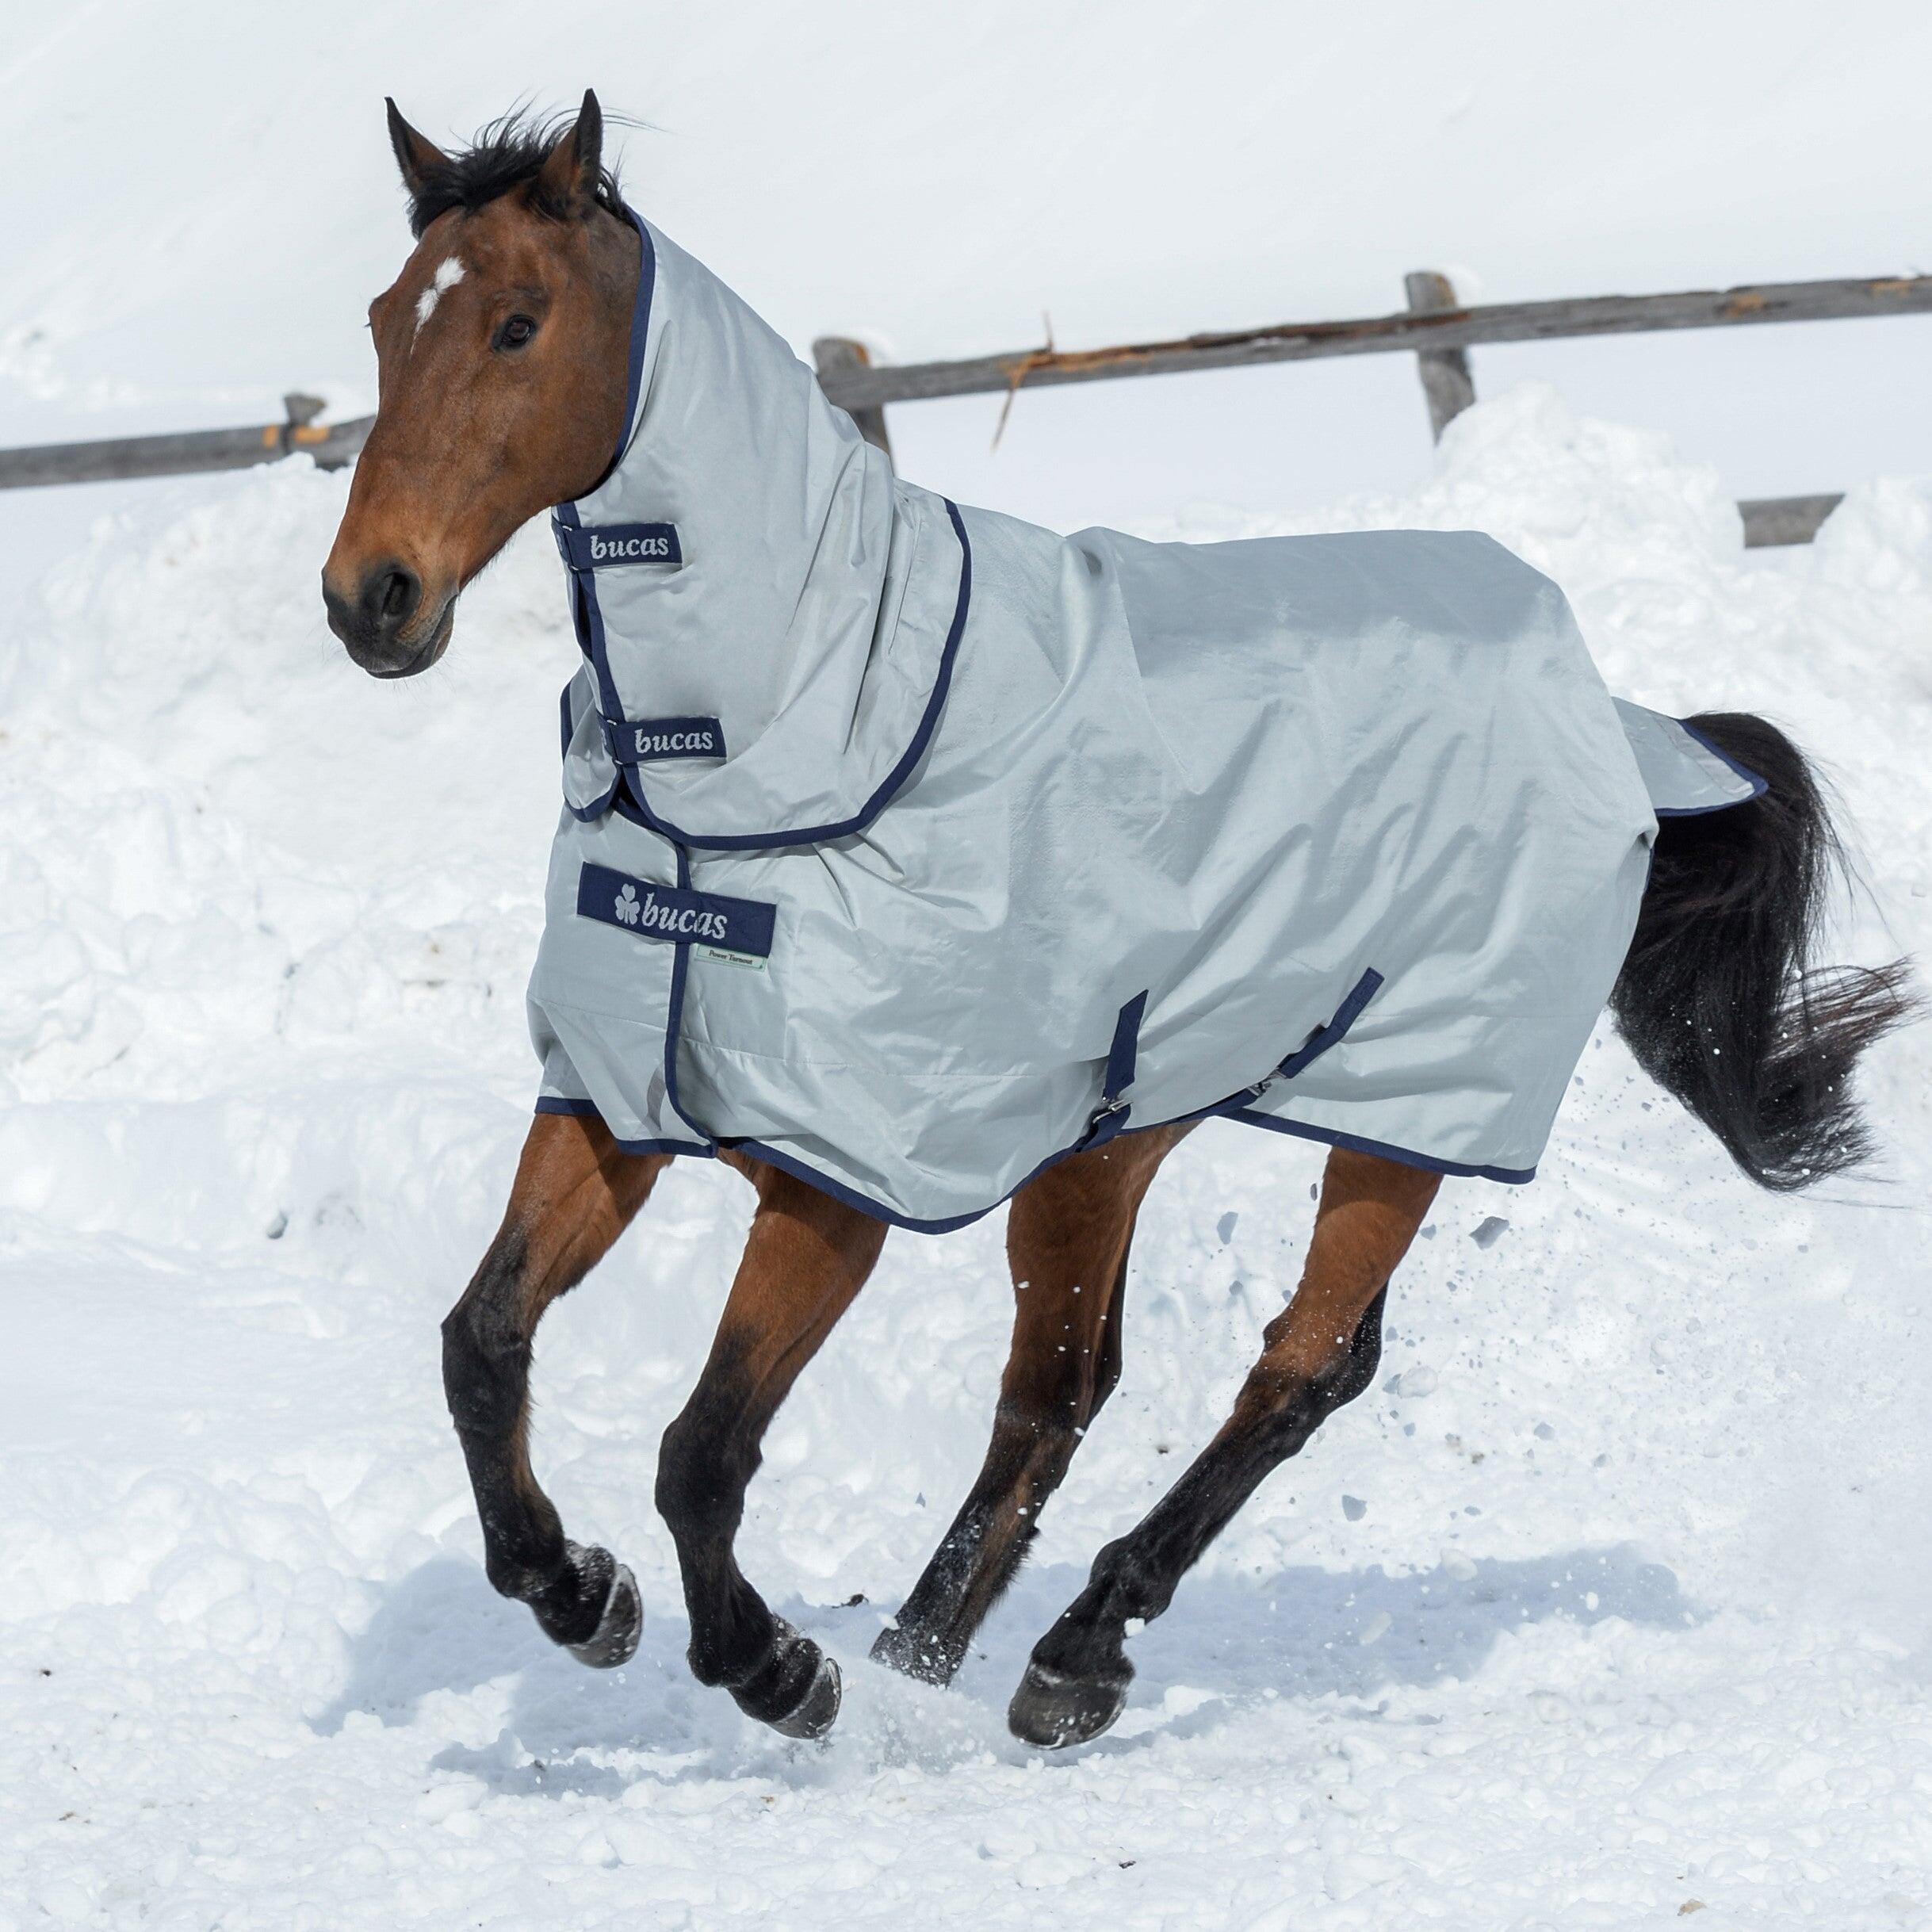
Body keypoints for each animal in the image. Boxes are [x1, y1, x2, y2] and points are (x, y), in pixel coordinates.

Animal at [321, 93, 1913, 1749]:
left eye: (517, 323)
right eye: (382, 320)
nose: (372, 597)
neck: (779, 746)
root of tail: (1620, 718)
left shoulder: (834, 1180)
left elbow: (700, 1450)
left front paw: (775, 1670)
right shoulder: (615, 1100)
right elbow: (481, 1346)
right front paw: (580, 1593)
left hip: (1402, 1109)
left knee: (1302, 1364)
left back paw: (1066, 1653)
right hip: (1112, 1134)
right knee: (1064, 1385)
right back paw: (937, 1656)